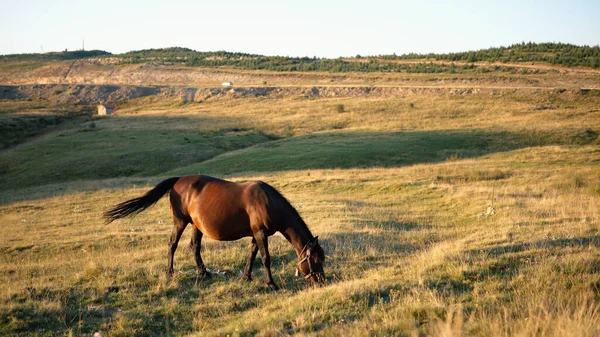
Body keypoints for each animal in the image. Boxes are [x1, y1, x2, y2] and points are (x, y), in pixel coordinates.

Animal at [105, 173, 326, 288]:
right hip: (180, 221)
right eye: (315, 260)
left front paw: (247, 276)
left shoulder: (255, 235)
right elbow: (265, 258)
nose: (321, 280)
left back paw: (204, 272)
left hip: (196, 225)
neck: (267, 202)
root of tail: (178, 180)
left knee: (194, 247)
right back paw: (170, 272)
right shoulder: (260, 233)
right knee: (172, 244)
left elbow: (252, 255)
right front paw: (271, 284)